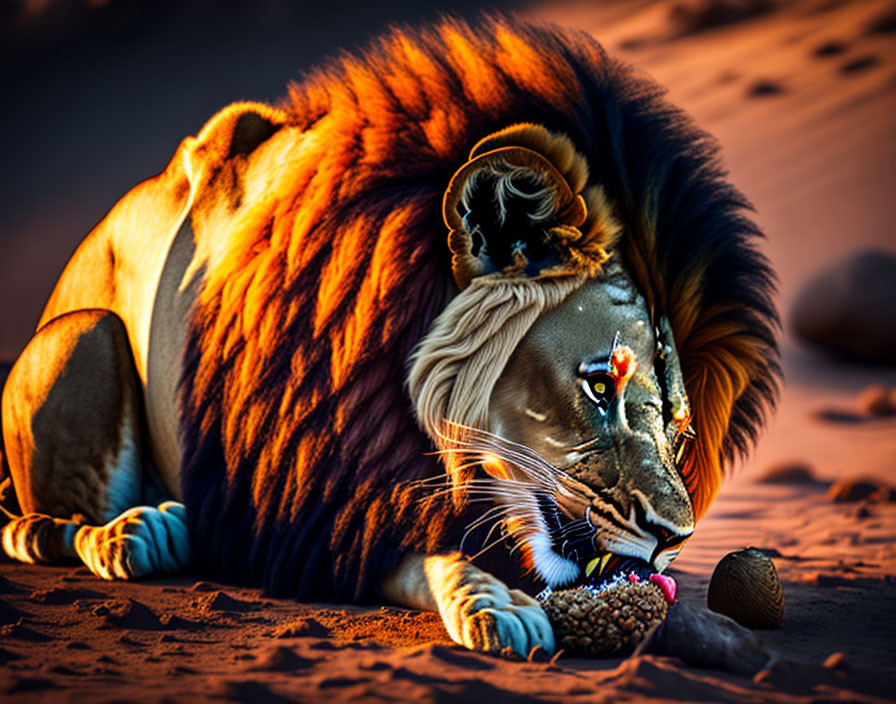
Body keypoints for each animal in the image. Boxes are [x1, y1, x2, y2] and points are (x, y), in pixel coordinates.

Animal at [0, 15, 776, 656]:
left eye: (680, 427)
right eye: (598, 385)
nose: (674, 541)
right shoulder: (320, 514)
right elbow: (433, 556)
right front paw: (497, 604)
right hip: (88, 335)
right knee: (36, 527)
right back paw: (140, 535)